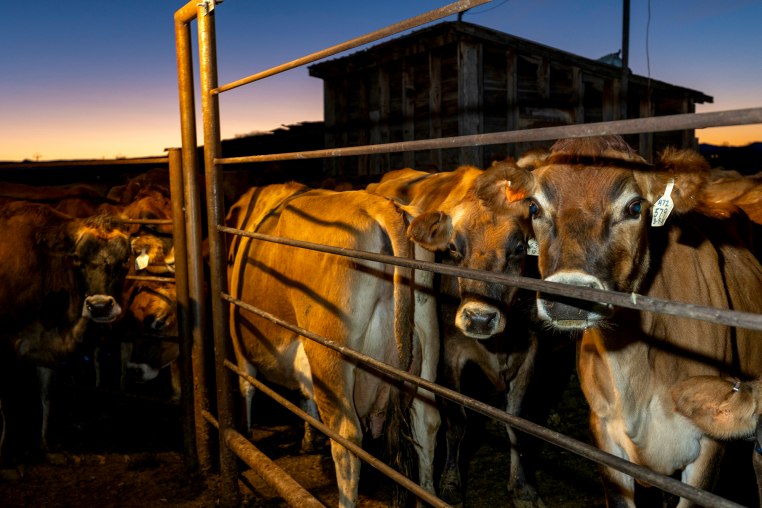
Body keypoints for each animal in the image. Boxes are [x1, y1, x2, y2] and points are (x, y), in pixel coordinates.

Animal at [0, 201, 131, 461]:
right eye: (77, 259)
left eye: (124, 261)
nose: (100, 306)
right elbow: (7, 402)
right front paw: (5, 451)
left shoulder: (45, 344)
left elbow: (47, 394)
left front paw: (46, 444)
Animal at [226, 182, 439, 507]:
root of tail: (380, 205)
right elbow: (305, 395)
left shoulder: (238, 338)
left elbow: (247, 385)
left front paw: (247, 437)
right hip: (427, 344)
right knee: (427, 421)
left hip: (330, 356)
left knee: (346, 437)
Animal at [368, 165, 547, 507]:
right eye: (452, 248)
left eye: (519, 249)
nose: (479, 318)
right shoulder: (449, 353)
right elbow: (457, 423)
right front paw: (450, 482)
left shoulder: (531, 352)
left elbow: (516, 422)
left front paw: (523, 486)